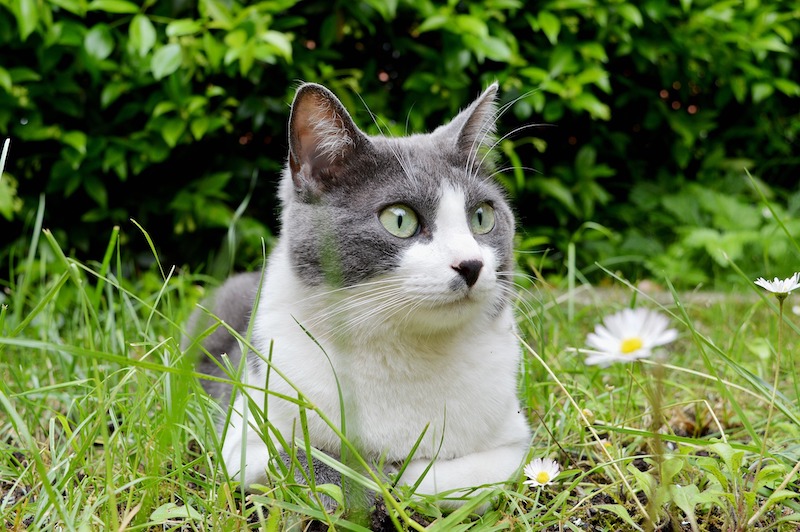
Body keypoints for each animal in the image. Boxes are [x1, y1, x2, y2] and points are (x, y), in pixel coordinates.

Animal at [189, 82, 532, 512]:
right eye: (400, 219)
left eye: (482, 217)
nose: (471, 265)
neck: (403, 348)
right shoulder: (242, 432)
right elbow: (294, 456)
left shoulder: (513, 441)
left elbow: (456, 479)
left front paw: (398, 476)